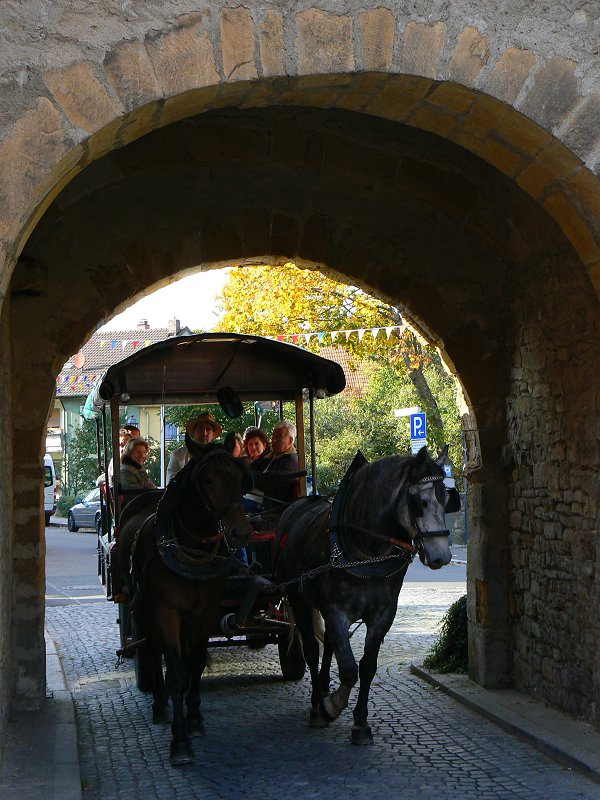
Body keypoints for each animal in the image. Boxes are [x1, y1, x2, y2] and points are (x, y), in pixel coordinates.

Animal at [115, 440, 251, 764]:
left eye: (241, 478)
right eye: (208, 480)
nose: (240, 532)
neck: (192, 548)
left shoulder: (206, 612)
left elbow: (196, 664)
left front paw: (195, 719)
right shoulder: (166, 613)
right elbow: (175, 673)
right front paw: (180, 742)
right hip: (142, 609)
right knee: (151, 650)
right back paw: (159, 705)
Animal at [276, 446, 454, 748]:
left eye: (447, 499)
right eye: (420, 501)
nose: (441, 555)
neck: (366, 552)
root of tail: (295, 507)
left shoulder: (382, 615)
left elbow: (367, 667)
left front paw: (360, 722)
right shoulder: (335, 610)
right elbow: (349, 668)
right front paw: (332, 705)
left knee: (330, 646)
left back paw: (324, 686)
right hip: (298, 599)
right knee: (312, 650)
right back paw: (317, 703)